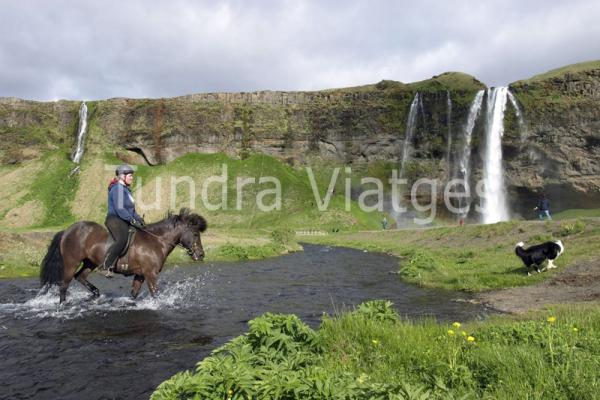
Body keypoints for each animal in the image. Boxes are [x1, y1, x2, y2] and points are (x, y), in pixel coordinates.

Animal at [39, 209, 206, 304]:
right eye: (195, 234)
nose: (200, 255)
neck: (156, 241)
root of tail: (67, 230)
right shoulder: (150, 274)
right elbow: (155, 294)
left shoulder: (140, 274)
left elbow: (133, 294)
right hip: (71, 263)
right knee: (64, 285)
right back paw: (63, 304)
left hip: (90, 262)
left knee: (80, 276)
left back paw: (96, 294)